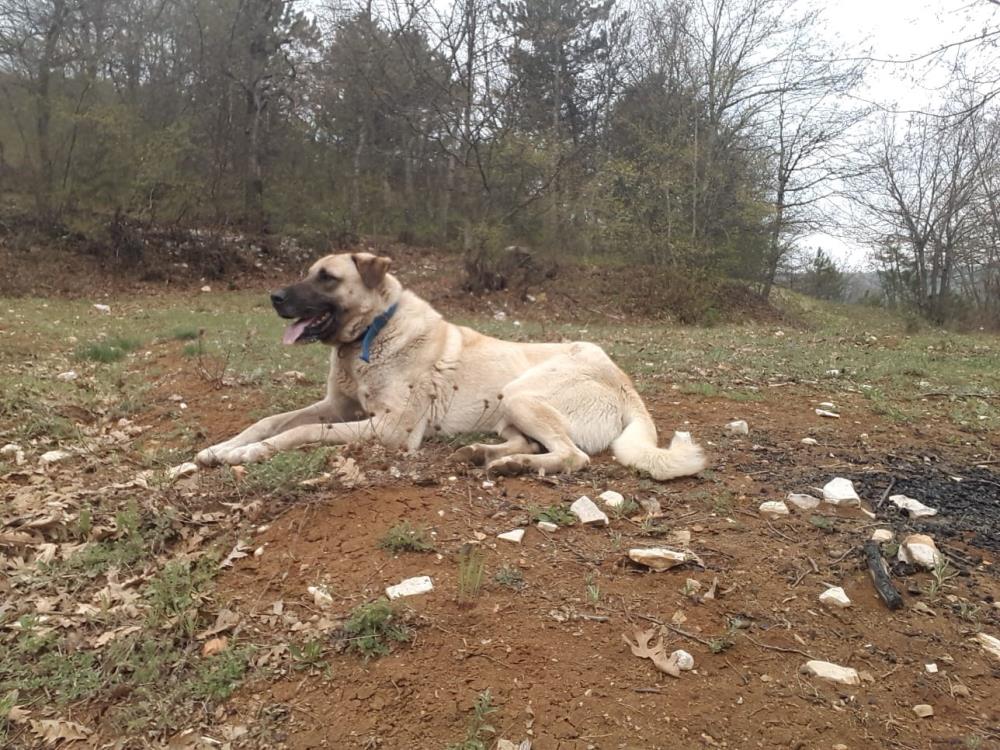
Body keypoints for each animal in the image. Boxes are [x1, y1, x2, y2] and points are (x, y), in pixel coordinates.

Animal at [195, 250, 708, 478]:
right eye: (308, 272)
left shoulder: (389, 430)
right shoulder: (339, 407)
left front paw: (247, 454)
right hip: (508, 407)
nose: (274, 297)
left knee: (572, 456)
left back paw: (511, 466)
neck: (372, 334)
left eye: (327, 278)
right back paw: (483, 453)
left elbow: (299, 432)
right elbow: (271, 421)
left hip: (524, 392)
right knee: (532, 442)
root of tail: (624, 382)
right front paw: (222, 449)